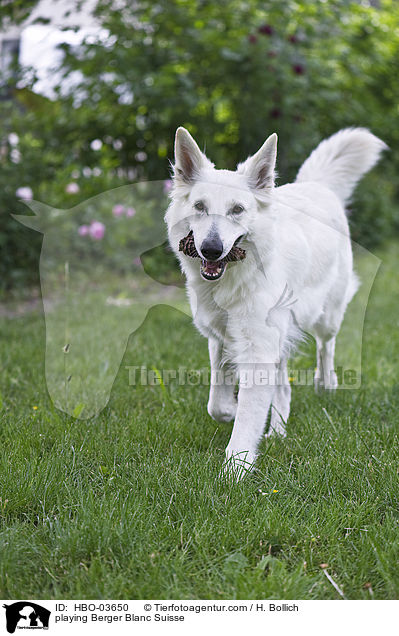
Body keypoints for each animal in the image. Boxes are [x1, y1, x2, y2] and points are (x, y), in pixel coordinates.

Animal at [165, 125, 384, 476]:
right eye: (199, 206)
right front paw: (232, 410)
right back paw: (278, 430)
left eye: (237, 210)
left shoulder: (257, 348)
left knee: (326, 346)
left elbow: (247, 415)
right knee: (284, 386)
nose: (211, 249)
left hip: (326, 318)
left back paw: (326, 383)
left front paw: (236, 469)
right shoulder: (221, 338)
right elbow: (216, 403)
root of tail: (317, 185)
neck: (236, 277)